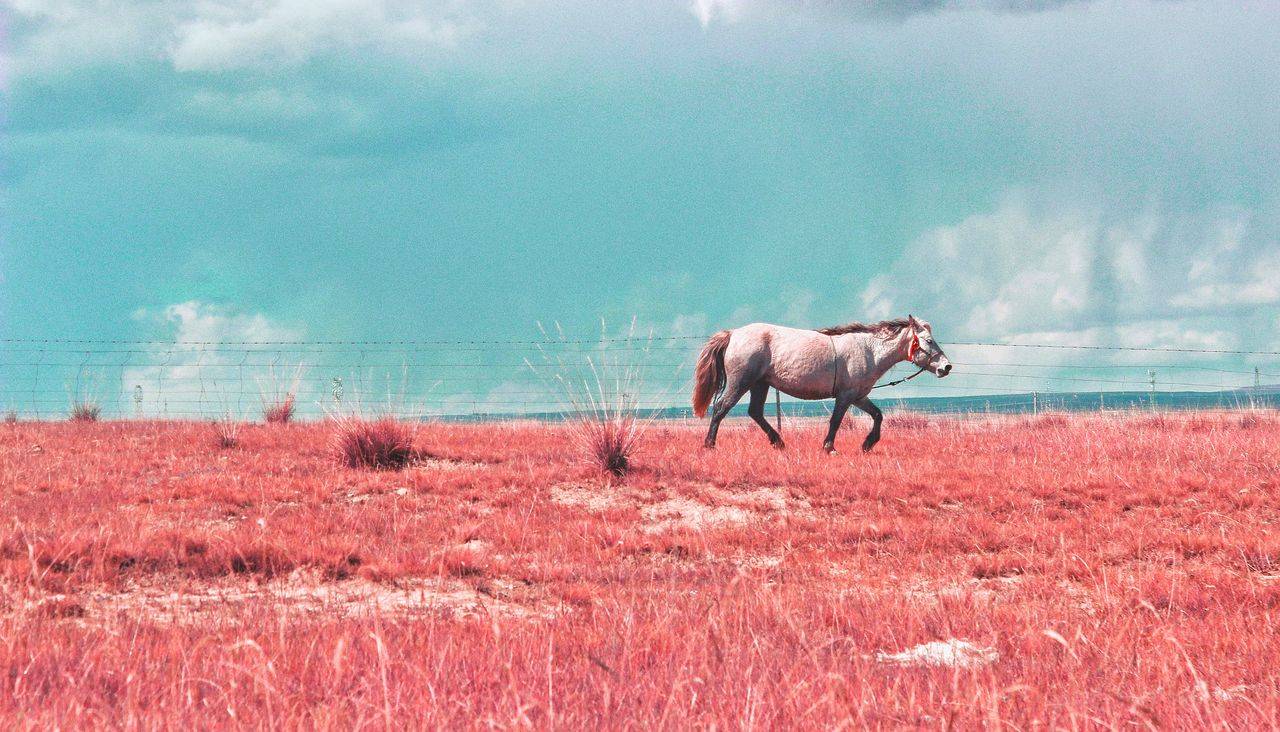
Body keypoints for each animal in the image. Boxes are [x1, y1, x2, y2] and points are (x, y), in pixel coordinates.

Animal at [691, 314, 952, 453]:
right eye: (929, 341)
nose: (946, 367)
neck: (868, 350)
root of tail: (733, 334)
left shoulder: (859, 396)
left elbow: (878, 415)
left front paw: (868, 444)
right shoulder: (845, 396)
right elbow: (836, 420)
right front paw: (829, 447)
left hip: (760, 384)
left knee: (755, 412)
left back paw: (779, 442)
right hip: (741, 382)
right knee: (722, 408)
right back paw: (709, 444)